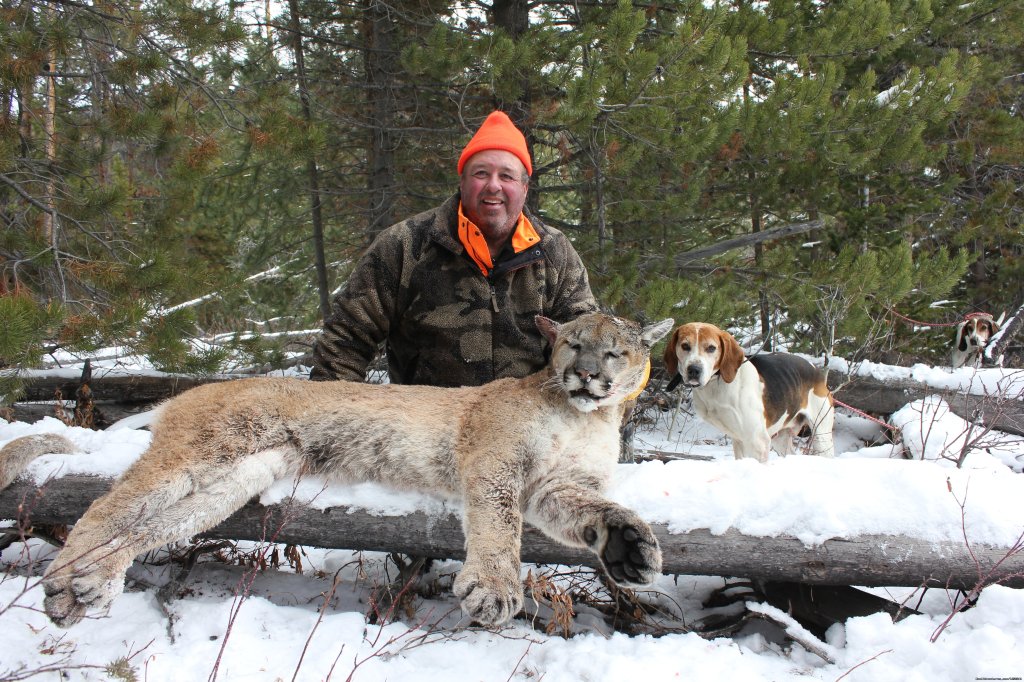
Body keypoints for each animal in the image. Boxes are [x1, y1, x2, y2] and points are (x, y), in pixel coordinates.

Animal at [0, 311, 671, 622]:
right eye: (573, 344)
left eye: (616, 351)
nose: (587, 374)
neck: (585, 416)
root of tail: (193, 390)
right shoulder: (496, 457)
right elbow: (499, 521)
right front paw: (493, 586)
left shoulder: (557, 485)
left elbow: (588, 511)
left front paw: (628, 545)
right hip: (208, 448)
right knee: (105, 503)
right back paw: (68, 583)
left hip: (241, 476)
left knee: (146, 525)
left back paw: (87, 585)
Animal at [659, 323, 835, 462]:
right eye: (685, 346)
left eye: (711, 348)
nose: (694, 370)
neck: (718, 383)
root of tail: (817, 370)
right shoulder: (740, 440)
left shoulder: (757, 441)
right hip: (780, 437)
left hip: (821, 436)